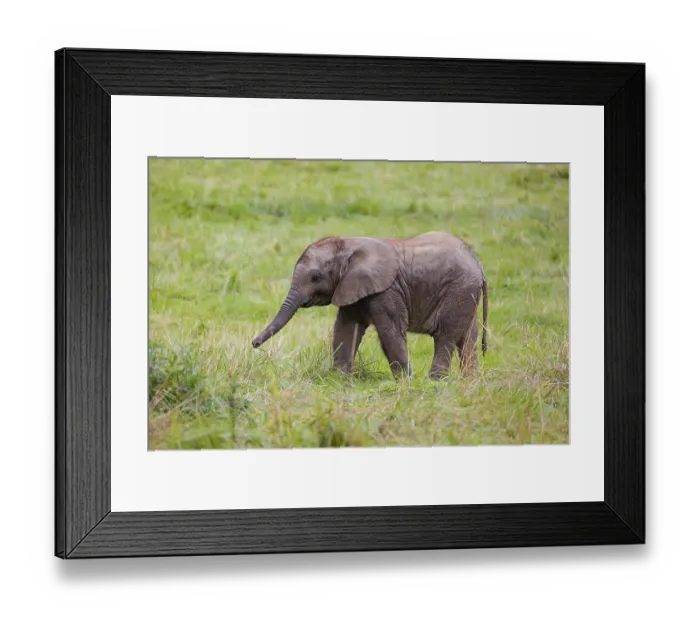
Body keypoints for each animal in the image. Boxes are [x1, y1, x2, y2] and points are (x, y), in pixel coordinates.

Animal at [252, 231, 488, 379]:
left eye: (315, 277)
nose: (254, 343)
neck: (348, 244)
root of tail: (478, 262)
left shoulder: (386, 290)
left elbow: (390, 332)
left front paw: (407, 382)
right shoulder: (350, 286)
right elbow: (345, 328)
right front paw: (339, 379)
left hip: (458, 290)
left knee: (446, 336)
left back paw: (435, 381)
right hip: (467, 293)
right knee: (468, 338)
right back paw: (470, 383)